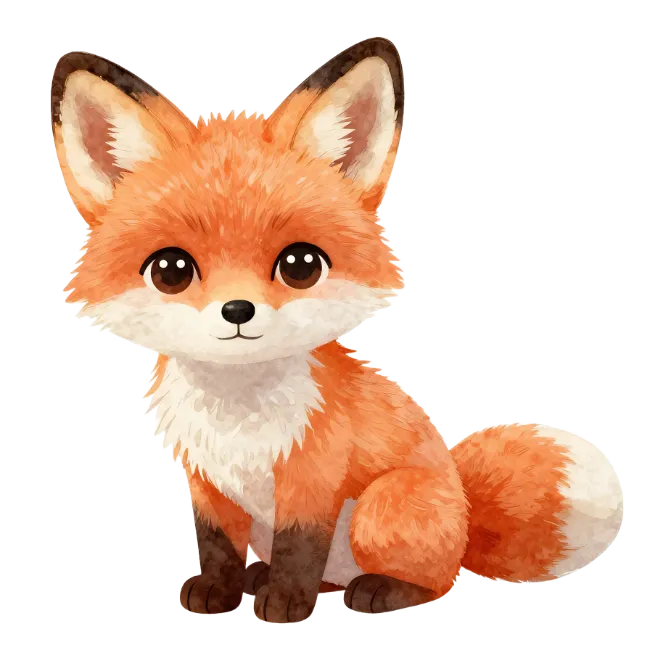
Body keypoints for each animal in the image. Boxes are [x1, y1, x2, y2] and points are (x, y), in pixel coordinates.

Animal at [50, 38, 624, 623]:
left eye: (301, 265)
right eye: (171, 271)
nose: (237, 310)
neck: (238, 419)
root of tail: (464, 508)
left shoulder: (312, 478)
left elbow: (300, 548)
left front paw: (285, 602)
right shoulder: (208, 481)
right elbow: (216, 545)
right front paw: (218, 590)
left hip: (380, 510)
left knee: (438, 579)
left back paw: (378, 590)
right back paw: (265, 578)